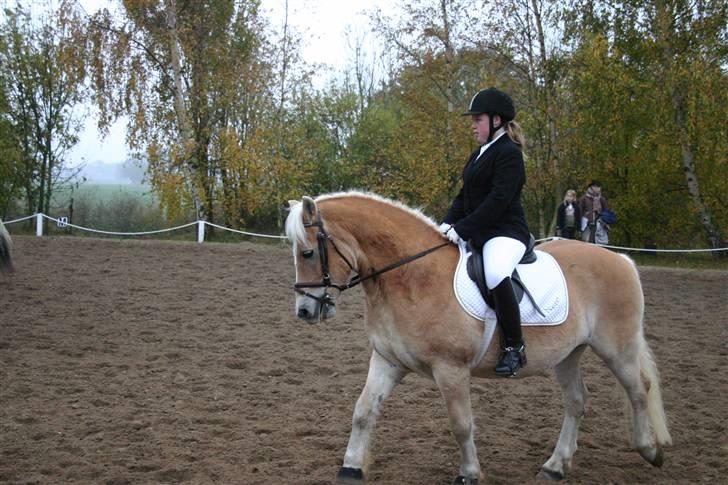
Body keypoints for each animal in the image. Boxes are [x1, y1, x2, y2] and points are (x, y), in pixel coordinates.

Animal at [286, 191, 672, 482]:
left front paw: (469, 473)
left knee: (639, 389)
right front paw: (351, 467)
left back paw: (650, 451)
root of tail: (621, 259)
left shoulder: (451, 369)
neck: (410, 276)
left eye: (308, 252)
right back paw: (555, 466)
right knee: (577, 401)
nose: (304, 311)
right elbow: (363, 411)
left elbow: (461, 424)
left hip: (616, 348)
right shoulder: (387, 360)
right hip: (569, 353)